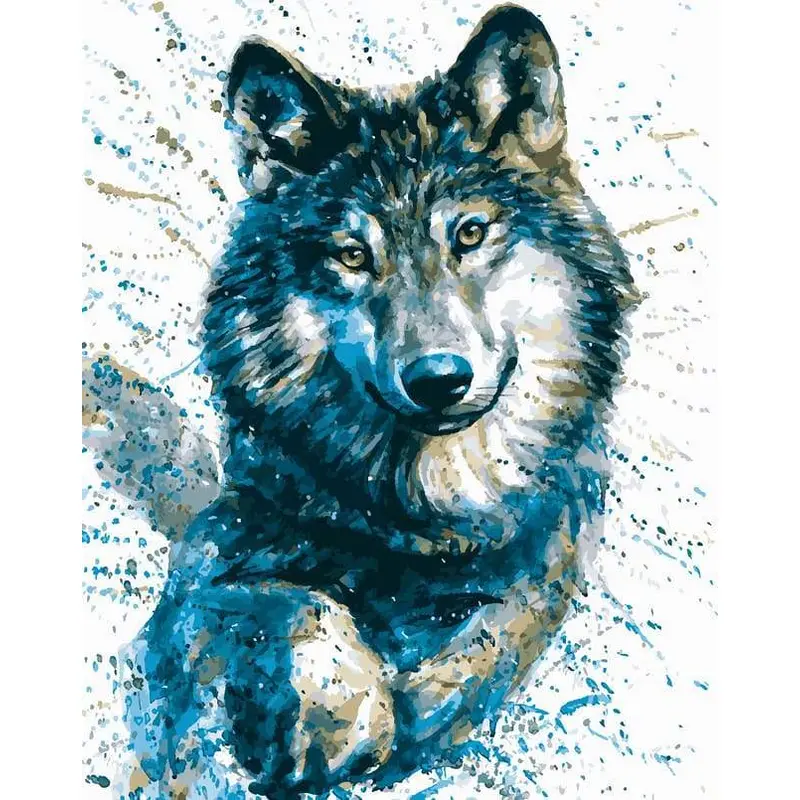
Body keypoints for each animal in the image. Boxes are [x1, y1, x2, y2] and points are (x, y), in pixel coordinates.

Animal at [119, 4, 635, 797]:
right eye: (354, 256)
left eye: (470, 233)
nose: (439, 379)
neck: (421, 519)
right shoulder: (212, 553)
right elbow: (297, 598)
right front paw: (346, 714)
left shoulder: (547, 557)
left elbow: (494, 635)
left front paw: (420, 705)